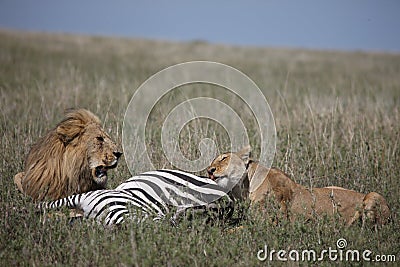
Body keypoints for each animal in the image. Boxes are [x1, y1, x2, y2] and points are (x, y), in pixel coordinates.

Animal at [208, 148, 390, 229]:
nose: (209, 170)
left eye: (224, 158)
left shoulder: (267, 223)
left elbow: (234, 231)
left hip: (373, 196)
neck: (245, 187)